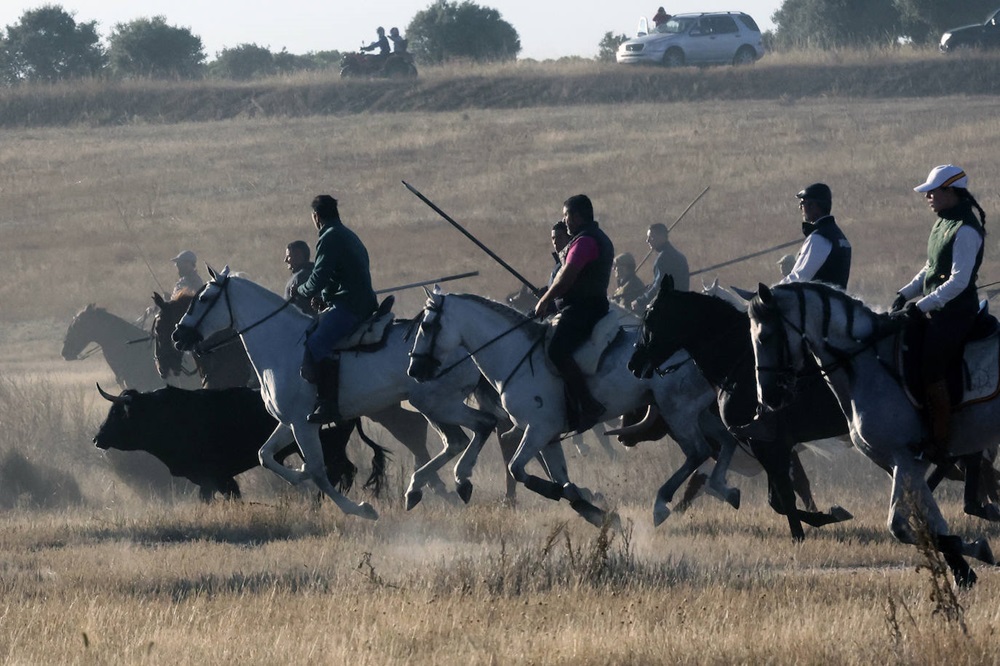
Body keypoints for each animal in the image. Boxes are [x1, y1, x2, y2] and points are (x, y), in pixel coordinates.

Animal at [94, 384, 388, 498]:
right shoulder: (215, 479)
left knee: (337, 473)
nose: (97, 438)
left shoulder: (214, 476)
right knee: (345, 471)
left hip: (327, 449)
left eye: (118, 413)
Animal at [176, 268, 500, 516]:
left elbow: (319, 472)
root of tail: (466, 347)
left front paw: (359, 509)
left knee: (483, 425)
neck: (283, 345)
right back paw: (421, 489)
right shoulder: (289, 422)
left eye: (203, 298)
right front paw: (299, 474)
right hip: (432, 406)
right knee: (456, 441)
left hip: (437, 404)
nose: (178, 335)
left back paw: (459, 481)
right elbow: (265, 455)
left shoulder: (303, 424)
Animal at [624, 276, 852, 540]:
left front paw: (808, 529)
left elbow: (784, 498)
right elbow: (778, 500)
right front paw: (828, 516)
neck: (741, 367)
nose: (633, 364)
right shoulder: (770, 446)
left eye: (650, 316)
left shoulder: (769, 446)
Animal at [752, 282, 996, 588]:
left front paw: (977, 552)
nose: (767, 398)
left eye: (765, 336)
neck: (866, 364)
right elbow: (931, 521)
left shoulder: (906, 460)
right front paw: (965, 571)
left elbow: (900, 527)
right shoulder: (904, 465)